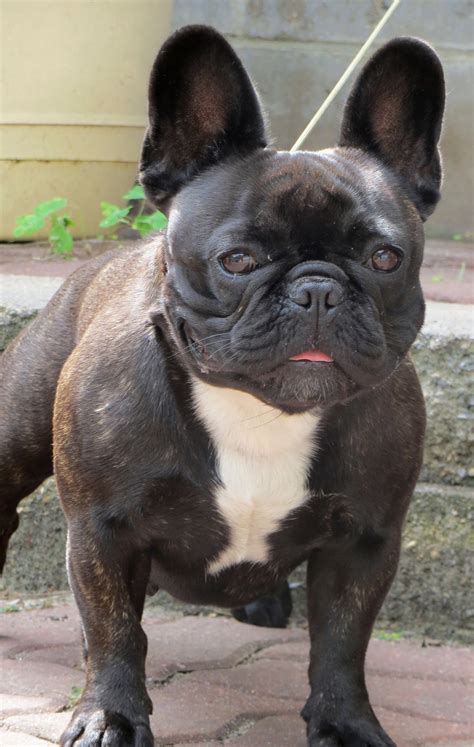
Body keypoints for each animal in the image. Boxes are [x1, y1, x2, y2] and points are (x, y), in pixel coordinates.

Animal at [0, 24, 444, 747]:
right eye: (237, 260)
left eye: (385, 258)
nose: (317, 289)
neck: (262, 411)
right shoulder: (103, 528)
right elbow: (114, 628)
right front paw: (110, 715)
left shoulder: (365, 540)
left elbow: (343, 641)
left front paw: (346, 722)